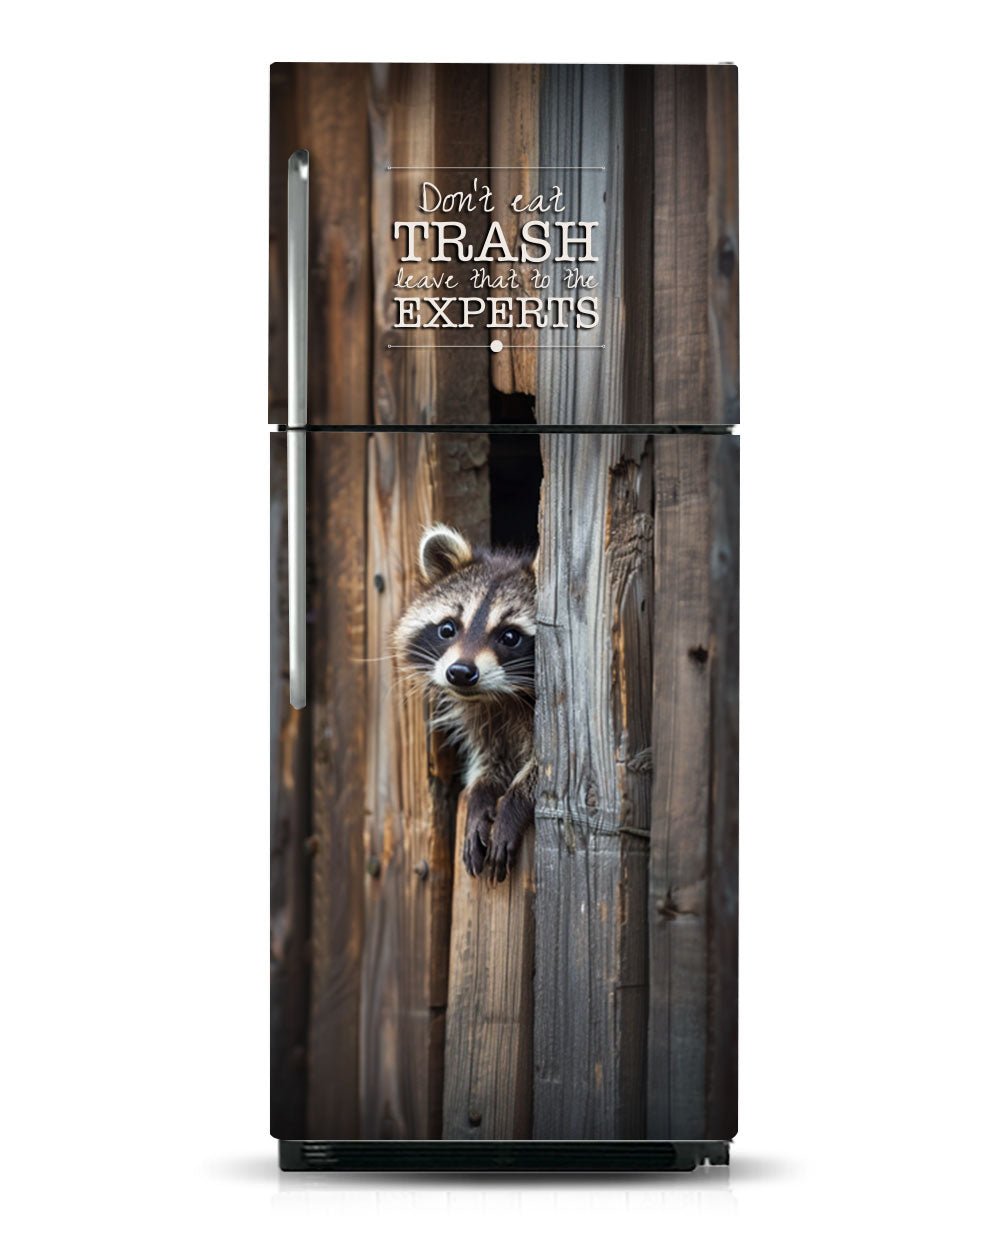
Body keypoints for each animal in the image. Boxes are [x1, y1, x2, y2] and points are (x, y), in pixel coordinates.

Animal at [393, 524, 537, 883]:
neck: (502, 696)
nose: (459, 673)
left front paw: (514, 802)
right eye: (448, 628)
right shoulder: (484, 718)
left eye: (510, 636)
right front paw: (480, 795)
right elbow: (491, 759)